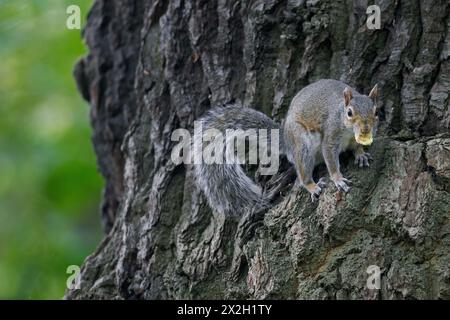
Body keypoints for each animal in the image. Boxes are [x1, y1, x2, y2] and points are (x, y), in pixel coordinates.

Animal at [193, 79, 380, 216]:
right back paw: (312, 186)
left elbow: (357, 147)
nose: (366, 129)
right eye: (349, 113)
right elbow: (331, 159)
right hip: (302, 143)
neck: (349, 132)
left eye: (376, 112)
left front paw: (361, 154)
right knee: (303, 173)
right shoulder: (331, 136)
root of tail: (286, 139)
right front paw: (338, 179)